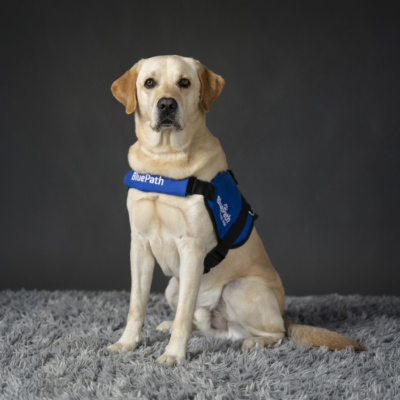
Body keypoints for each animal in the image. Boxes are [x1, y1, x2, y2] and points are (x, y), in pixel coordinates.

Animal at [107, 55, 365, 366]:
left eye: (185, 82)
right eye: (149, 83)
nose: (167, 104)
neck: (165, 161)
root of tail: (282, 312)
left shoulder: (192, 250)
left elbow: (183, 315)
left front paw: (173, 354)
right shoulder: (140, 245)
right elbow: (136, 305)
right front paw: (126, 343)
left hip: (238, 289)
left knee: (276, 332)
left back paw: (254, 342)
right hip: (173, 286)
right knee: (198, 322)